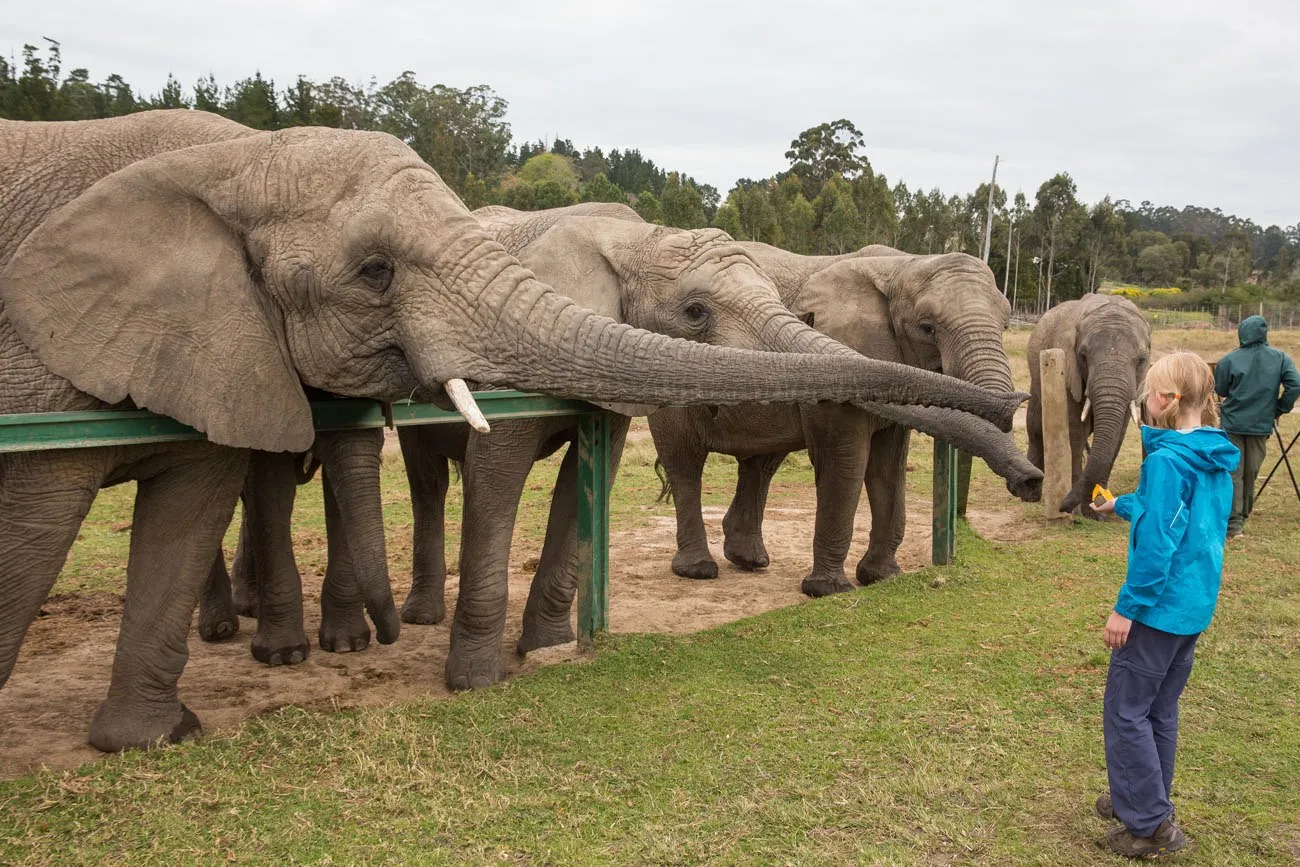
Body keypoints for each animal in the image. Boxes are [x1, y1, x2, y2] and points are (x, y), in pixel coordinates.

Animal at [648, 244, 1043, 596]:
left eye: (1006, 325)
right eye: (927, 328)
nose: (1032, 484)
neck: (902, 265)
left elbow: (888, 468)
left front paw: (882, 577)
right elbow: (845, 460)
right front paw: (828, 590)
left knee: (761, 464)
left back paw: (749, 560)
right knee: (685, 463)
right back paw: (698, 570)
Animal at [1026, 293, 1151, 516]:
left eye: (1141, 360)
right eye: (1083, 356)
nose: (1062, 506)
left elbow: (1118, 433)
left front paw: (1097, 512)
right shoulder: (1067, 368)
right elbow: (1076, 429)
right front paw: (1078, 513)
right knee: (1035, 426)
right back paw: (1029, 495)